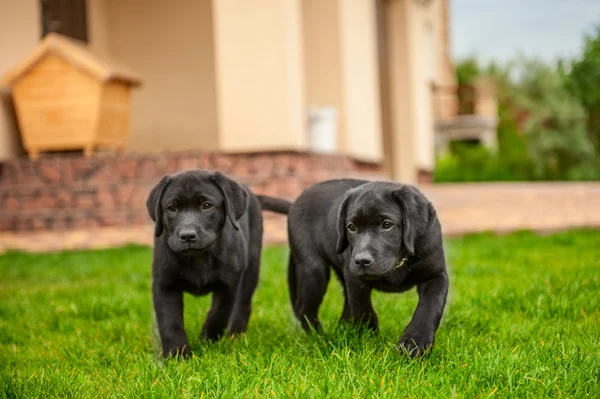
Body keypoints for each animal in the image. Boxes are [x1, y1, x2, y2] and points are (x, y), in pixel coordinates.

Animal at [149, 170, 292, 360]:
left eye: (206, 205)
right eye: (171, 208)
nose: (187, 236)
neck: (199, 257)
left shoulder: (229, 284)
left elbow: (219, 313)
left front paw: (207, 339)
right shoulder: (164, 284)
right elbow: (170, 322)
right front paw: (177, 356)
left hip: (251, 268)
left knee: (243, 305)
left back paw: (235, 336)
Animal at [288, 180, 448, 358]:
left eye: (387, 225)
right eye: (351, 227)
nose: (362, 261)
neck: (398, 262)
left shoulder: (436, 274)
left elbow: (430, 307)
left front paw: (415, 342)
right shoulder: (354, 277)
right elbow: (362, 308)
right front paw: (370, 336)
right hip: (313, 270)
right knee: (304, 309)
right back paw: (319, 337)